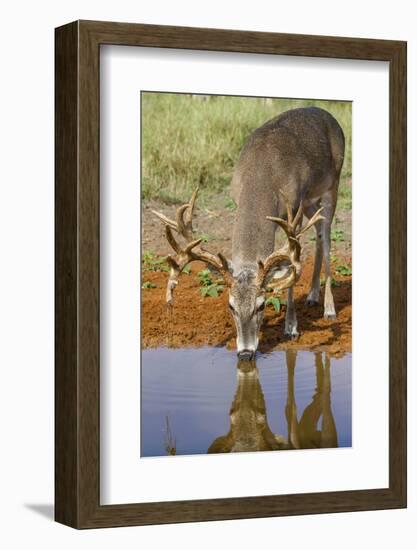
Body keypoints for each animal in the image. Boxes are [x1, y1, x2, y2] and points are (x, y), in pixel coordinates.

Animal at [153, 106, 344, 362]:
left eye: (261, 305)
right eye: (230, 306)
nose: (245, 353)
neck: (263, 175)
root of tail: (327, 113)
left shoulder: (294, 209)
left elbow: (291, 268)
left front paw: (291, 327)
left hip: (332, 185)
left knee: (327, 238)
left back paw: (329, 309)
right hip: (311, 202)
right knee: (320, 233)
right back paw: (313, 295)